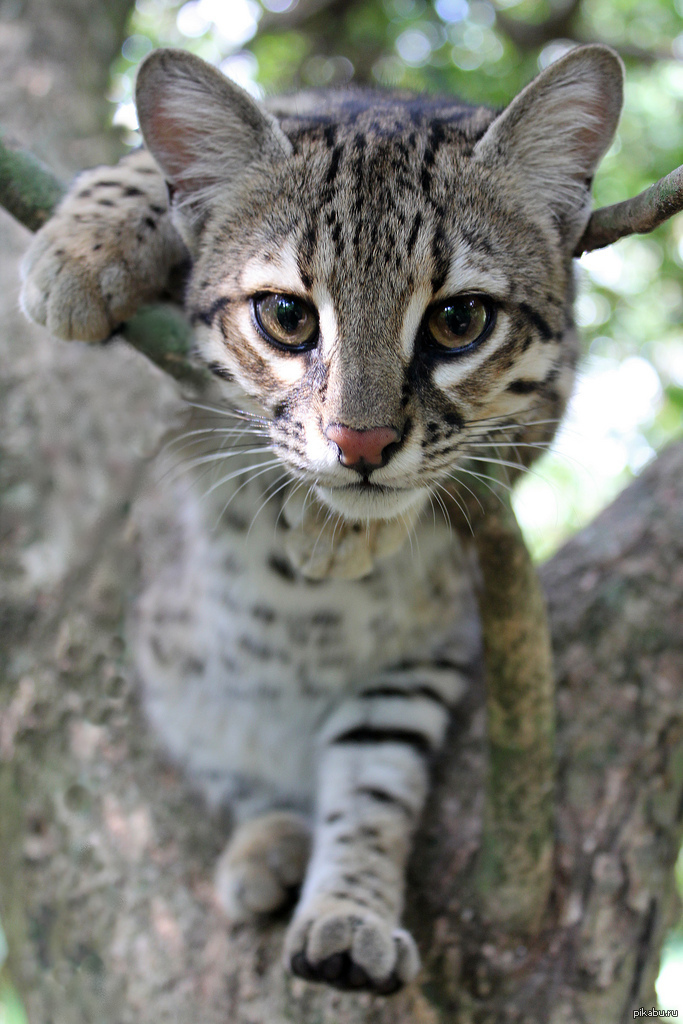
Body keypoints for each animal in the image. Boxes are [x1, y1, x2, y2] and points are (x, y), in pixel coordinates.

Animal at [20, 46, 626, 991]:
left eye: (458, 320)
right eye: (286, 316)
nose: (361, 443)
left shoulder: (548, 400)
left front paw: (350, 528)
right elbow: (136, 170)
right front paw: (82, 250)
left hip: (410, 665)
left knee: (369, 779)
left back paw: (339, 900)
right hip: (181, 681)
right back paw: (270, 840)